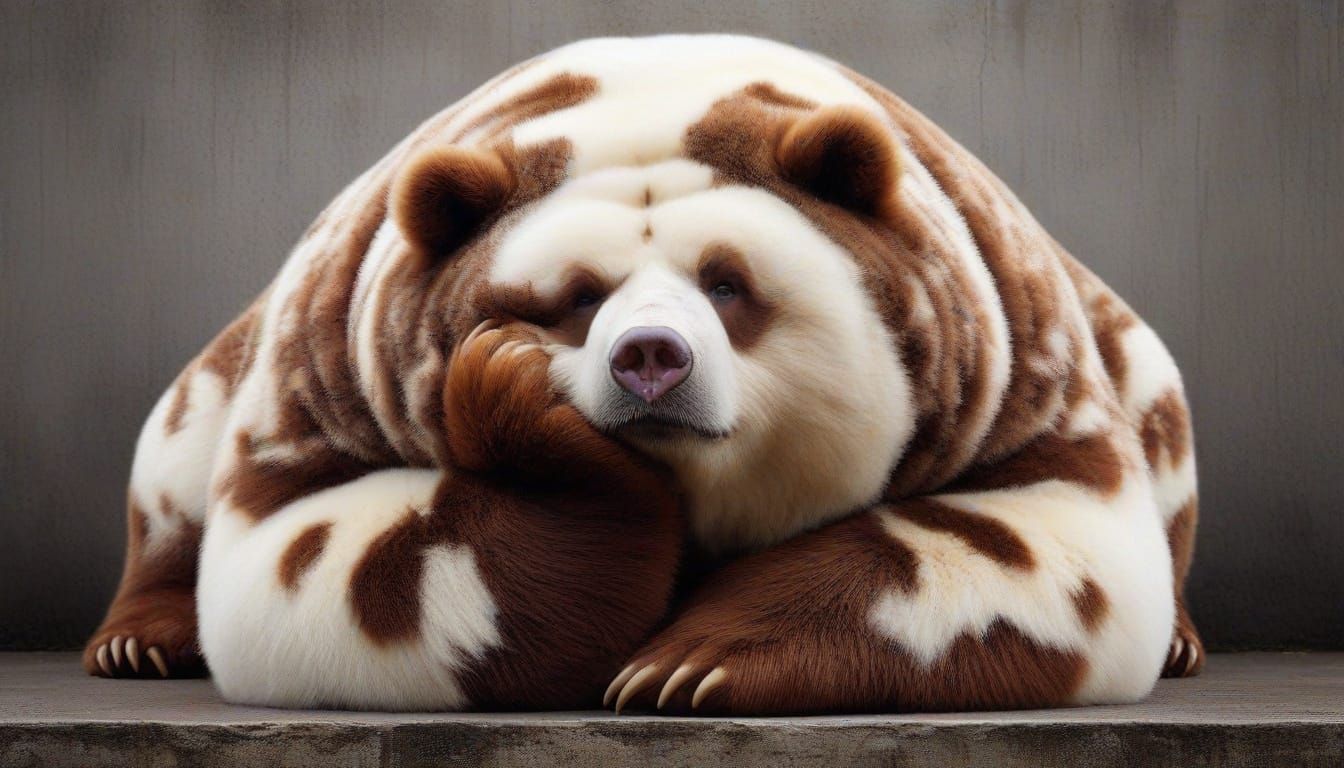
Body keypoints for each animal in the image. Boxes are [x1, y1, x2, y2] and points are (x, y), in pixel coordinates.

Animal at [84, 34, 1203, 714]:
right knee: (175, 450)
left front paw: (693, 661)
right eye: (578, 297)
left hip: (1130, 355)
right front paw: (516, 401)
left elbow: (1046, 541)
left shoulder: (1013, 357)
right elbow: (307, 554)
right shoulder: (321, 372)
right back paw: (140, 641)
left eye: (727, 284)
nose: (651, 359)